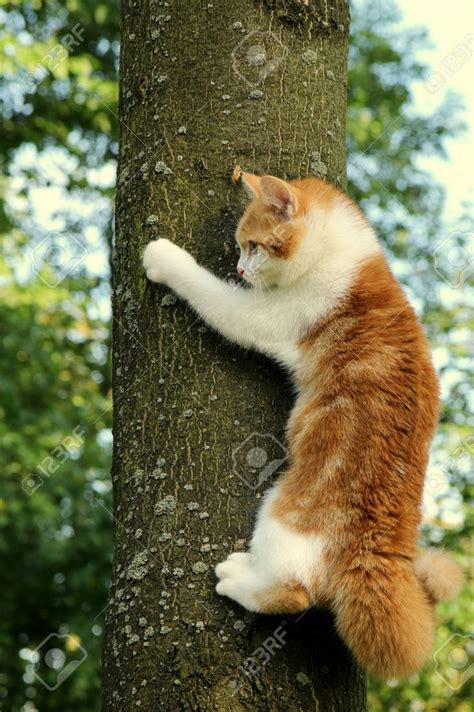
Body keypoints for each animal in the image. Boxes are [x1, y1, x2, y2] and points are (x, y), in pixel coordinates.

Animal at [143, 170, 462, 676]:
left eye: (253, 246)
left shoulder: (263, 314)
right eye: (240, 248)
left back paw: (240, 580)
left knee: (295, 592)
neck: (342, 257)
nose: (240, 271)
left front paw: (163, 256)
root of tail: (377, 549)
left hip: (282, 513)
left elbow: (210, 293)